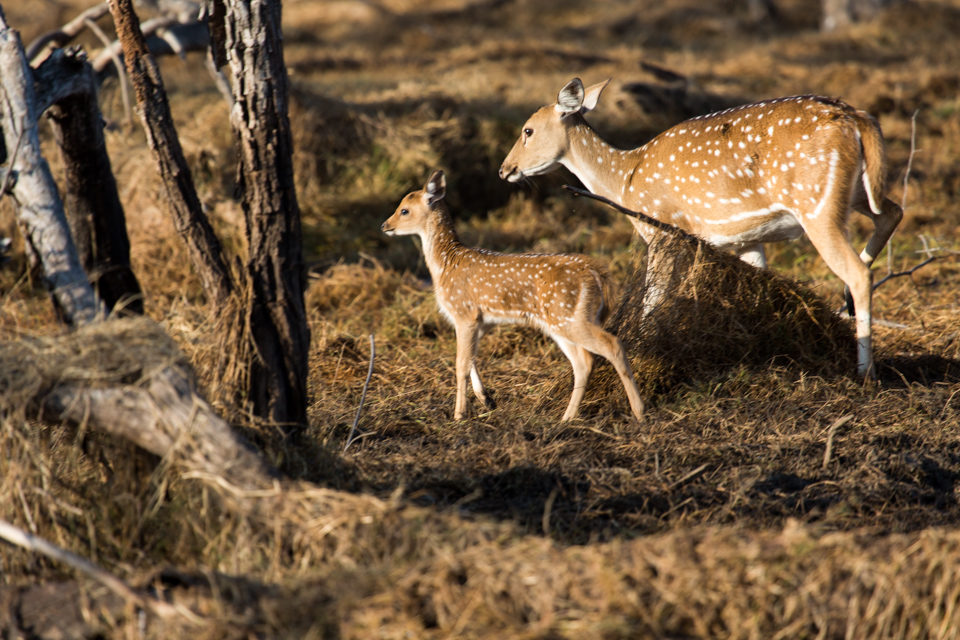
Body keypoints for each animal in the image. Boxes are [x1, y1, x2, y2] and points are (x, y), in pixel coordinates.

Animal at [382, 170, 645, 422]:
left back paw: (639, 412)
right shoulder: (481, 320)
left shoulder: (464, 311)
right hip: (560, 322)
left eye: (404, 210)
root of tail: (597, 272)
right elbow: (472, 359)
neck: (445, 265)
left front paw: (459, 415)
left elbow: (460, 364)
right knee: (583, 362)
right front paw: (487, 400)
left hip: (568, 315)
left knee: (611, 345)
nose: (385, 225)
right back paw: (567, 418)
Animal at [499, 78, 903, 379]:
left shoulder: (663, 230)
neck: (625, 181)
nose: (505, 169)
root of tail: (858, 119)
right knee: (891, 212)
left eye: (527, 130)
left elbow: (652, 299)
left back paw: (865, 370)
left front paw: (643, 353)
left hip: (816, 202)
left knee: (859, 270)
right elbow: (758, 285)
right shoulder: (746, 238)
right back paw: (846, 306)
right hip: (856, 192)